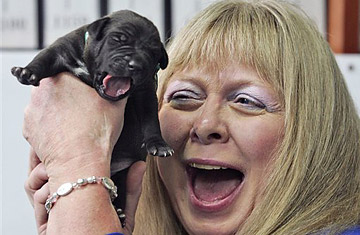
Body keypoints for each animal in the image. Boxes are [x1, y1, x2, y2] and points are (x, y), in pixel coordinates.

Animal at [10, 9, 173, 217]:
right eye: (118, 39)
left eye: (152, 52)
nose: (135, 64)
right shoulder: (61, 49)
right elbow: (44, 58)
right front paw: (27, 72)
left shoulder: (145, 91)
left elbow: (151, 120)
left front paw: (159, 144)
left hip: (122, 172)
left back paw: (119, 212)